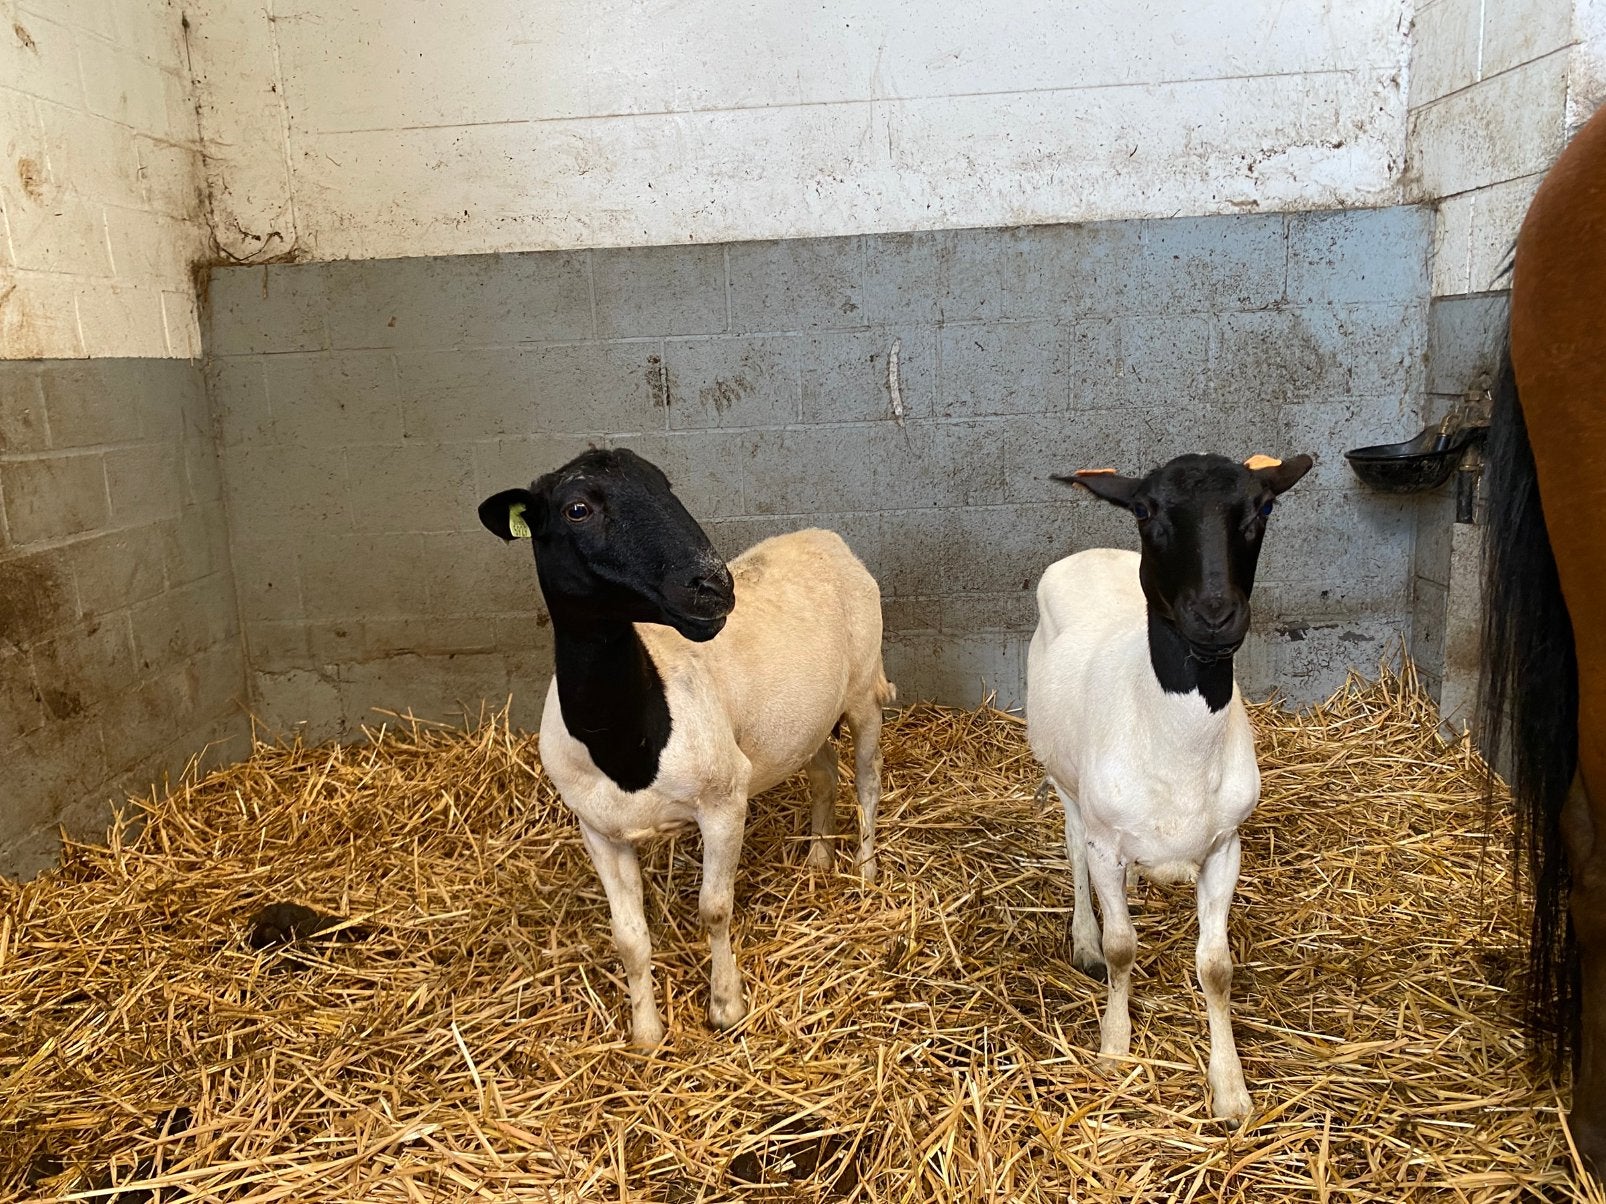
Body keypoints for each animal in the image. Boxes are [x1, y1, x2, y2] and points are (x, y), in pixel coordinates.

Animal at [479, 448, 893, 1048]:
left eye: (664, 484)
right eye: (578, 509)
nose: (714, 585)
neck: (626, 741)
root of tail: (825, 536)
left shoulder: (723, 801)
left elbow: (714, 910)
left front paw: (726, 1007)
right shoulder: (598, 830)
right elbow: (628, 936)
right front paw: (646, 1034)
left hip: (863, 689)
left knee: (867, 780)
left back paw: (863, 872)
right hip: (805, 718)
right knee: (824, 771)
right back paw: (818, 860)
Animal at [1025, 451, 1312, 1124]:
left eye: (1263, 507)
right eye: (1144, 509)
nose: (1215, 615)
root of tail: (1090, 554)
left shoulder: (1225, 847)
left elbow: (1216, 967)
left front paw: (1230, 1088)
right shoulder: (1106, 838)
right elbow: (1122, 946)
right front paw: (1114, 1047)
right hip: (1066, 782)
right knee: (1074, 855)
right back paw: (1083, 939)